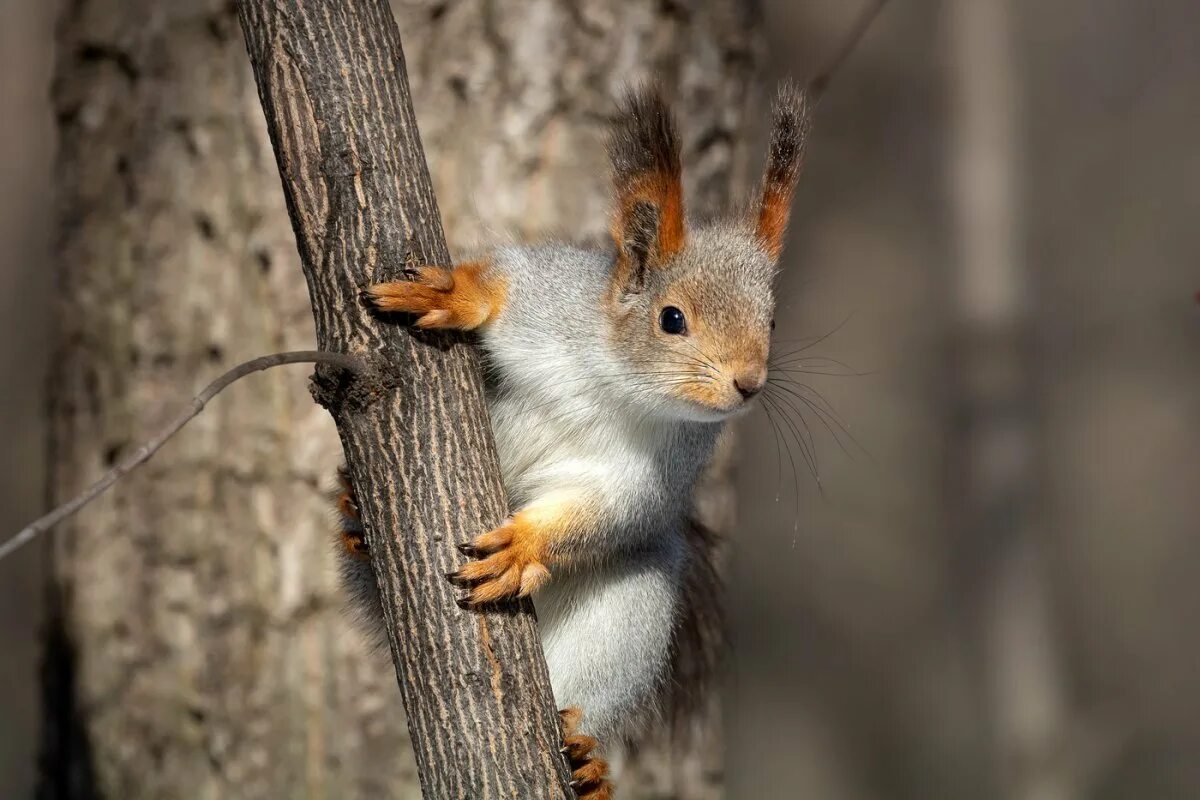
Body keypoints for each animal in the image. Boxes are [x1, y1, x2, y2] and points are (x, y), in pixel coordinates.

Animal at [333, 82, 811, 800]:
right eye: (672, 319)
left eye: (772, 321)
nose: (747, 384)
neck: (618, 382)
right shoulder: (551, 301)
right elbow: (505, 282)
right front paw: (455, 291)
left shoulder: (661, 467)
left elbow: (614, 507)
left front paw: (526, 544)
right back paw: (356, 518)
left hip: (631, 614)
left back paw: (585, 755)